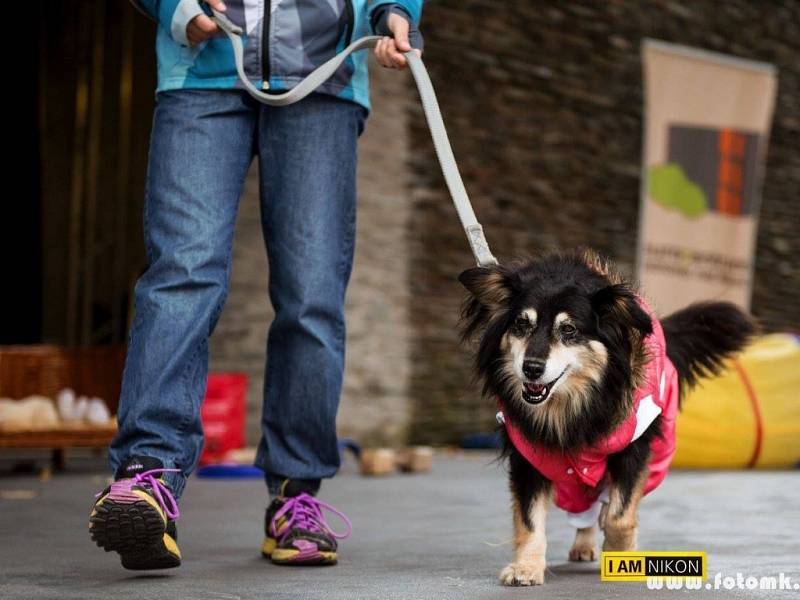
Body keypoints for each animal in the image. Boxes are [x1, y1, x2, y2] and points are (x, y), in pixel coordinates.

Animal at [456, 248, 756, 584]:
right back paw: (583, 543)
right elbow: (529, 519)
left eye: (569, 330)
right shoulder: (529, 457)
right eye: (521, 325)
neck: (572, 406)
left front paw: (622, 554)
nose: (530, 368)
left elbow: (620, 516)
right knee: (583, 507)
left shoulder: (633, 448)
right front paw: (526, 568)